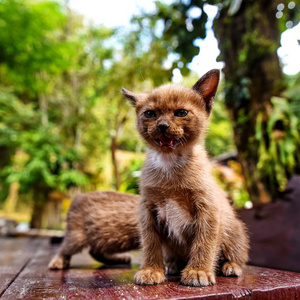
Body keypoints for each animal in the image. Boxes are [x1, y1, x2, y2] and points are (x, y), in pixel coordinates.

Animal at [120, 69, 250, 288]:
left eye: (181, 113)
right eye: (150, 114)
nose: (162, 126)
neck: (169, 164)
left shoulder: (208, 208)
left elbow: (204, 242)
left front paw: (198, 271)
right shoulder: (147, 209)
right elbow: (150, 242)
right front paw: (150, 270)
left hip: (234, 228)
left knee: (238, 252)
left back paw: (231, 266)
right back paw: (172, 265)